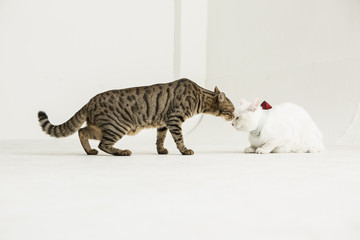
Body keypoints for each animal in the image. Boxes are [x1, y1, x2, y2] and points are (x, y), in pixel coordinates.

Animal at [38, 79, 235, 156]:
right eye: (232, 109)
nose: (234, 117)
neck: (201, 96)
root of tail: (89, 101)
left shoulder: (163, 123)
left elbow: (160, 139)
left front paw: (161, 150)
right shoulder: (174, 119)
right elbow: (179, 139)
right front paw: (185, 150)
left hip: (100, 127)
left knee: (81, 132)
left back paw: (89, 151)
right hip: (117, 127)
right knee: (103, 144)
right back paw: (122, 152)